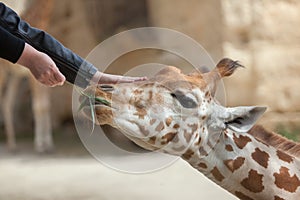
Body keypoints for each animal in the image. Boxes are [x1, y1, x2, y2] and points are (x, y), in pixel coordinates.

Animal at [0, 0, 54, 152]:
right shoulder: (32, 74)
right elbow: (38, 106)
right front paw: (40, 146)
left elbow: (46, 105)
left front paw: (48, 144)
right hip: (3, 73)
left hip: (13, 76)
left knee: (7, 102)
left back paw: (12, 145)